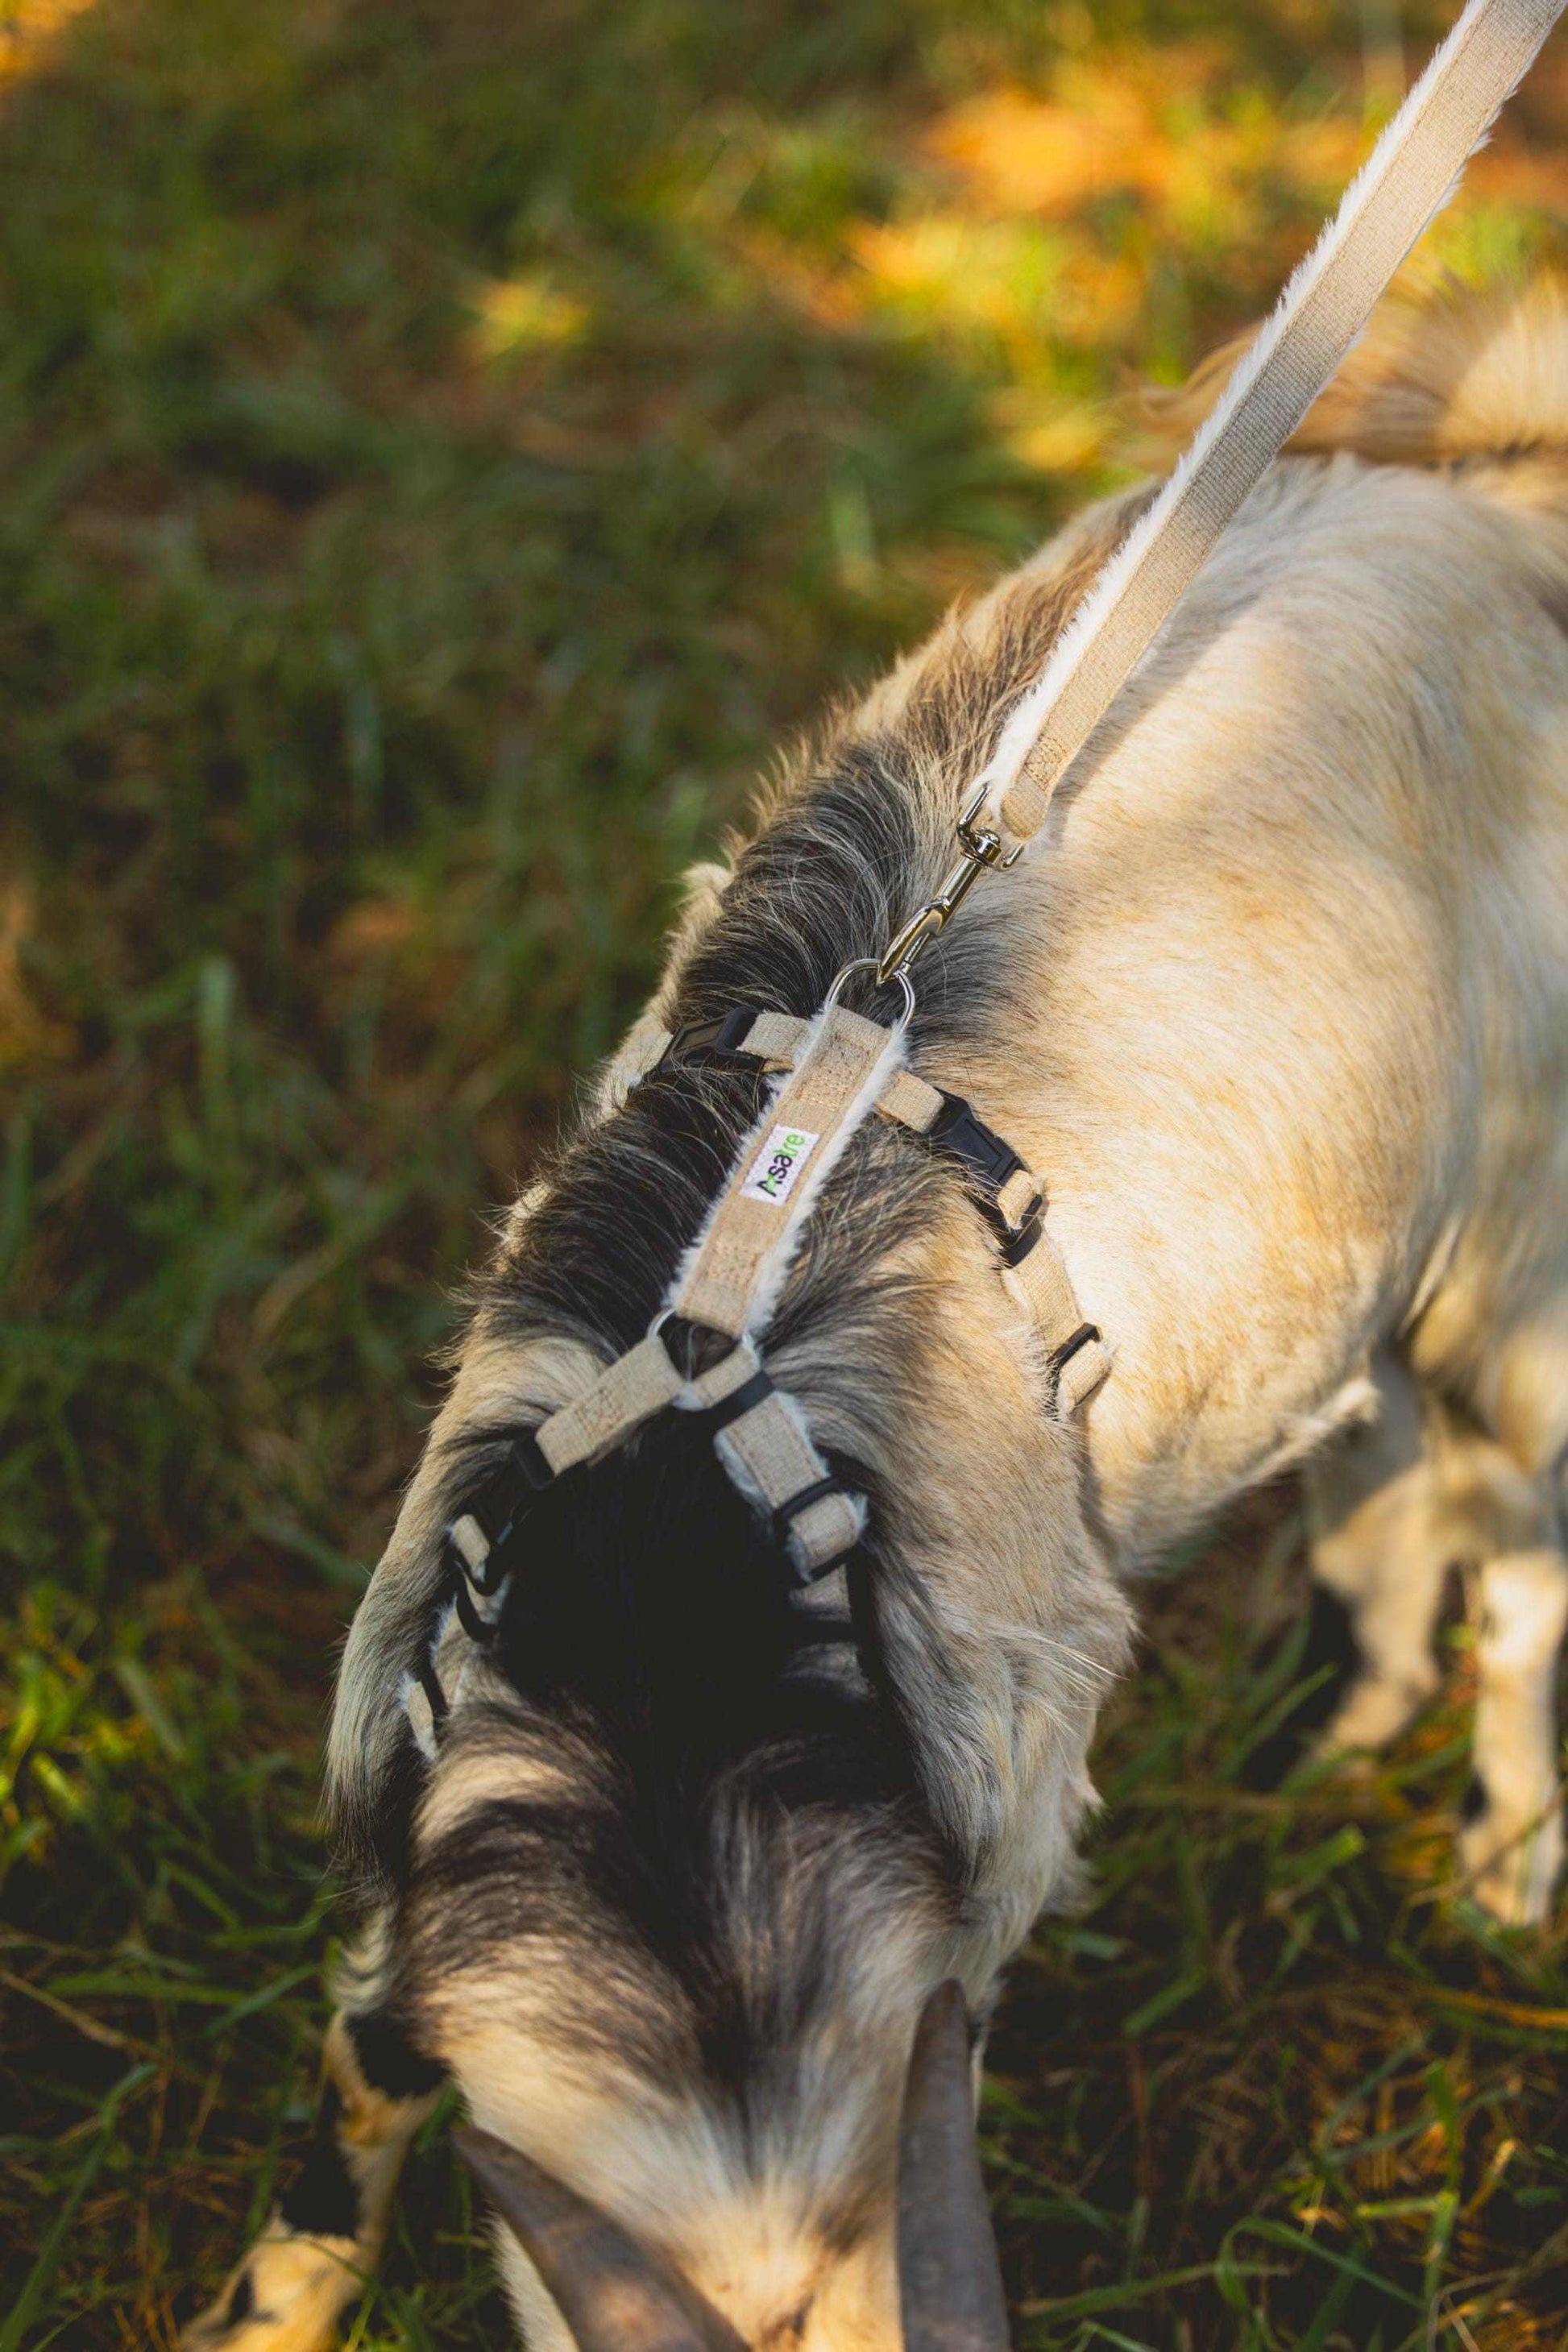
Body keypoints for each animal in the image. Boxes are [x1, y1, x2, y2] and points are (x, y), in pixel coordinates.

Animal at [185, 278, 1568, 2352]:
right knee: (1381, 1455)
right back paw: (1346, 1739)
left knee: (1532, 1557)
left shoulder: (994, 1823)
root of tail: (1492, 496)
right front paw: (270, 2302)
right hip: (1359, 1242)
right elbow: (361, 2072)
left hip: (1515, 1254)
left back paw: (1497, 1859)